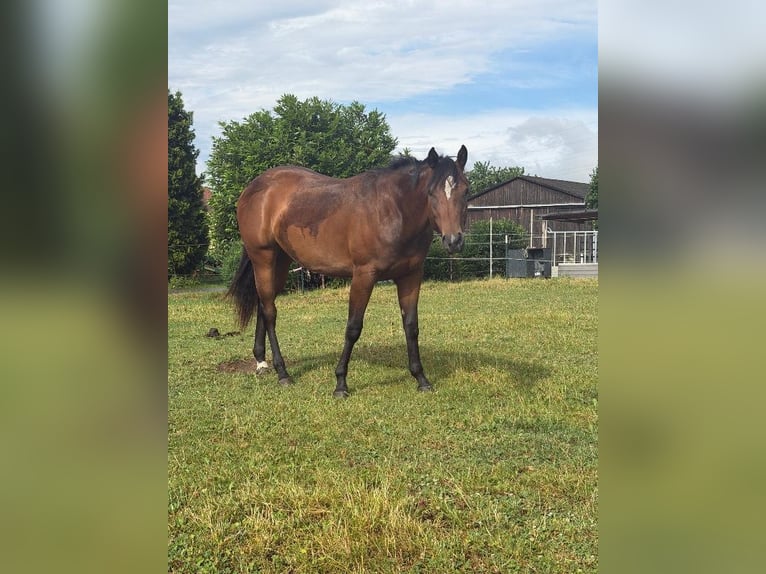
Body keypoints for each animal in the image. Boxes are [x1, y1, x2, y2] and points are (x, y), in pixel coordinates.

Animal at [227, 145, 469, 397]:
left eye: (466, 191)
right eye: (431, 193)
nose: (454, 241)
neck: (393, 210)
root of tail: (253, 188)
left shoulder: (410, 276)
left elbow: (411, 326)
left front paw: (421, 378)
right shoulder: (363, 276)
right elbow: (353, 328)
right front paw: (340, 383)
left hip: (280, 261)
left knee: (263, 306)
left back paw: (261, 362)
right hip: (263, 258)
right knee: (270, 312)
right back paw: (282, 373)